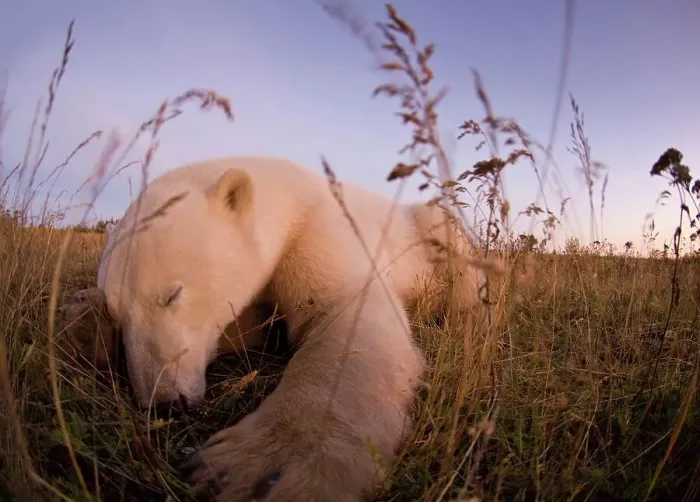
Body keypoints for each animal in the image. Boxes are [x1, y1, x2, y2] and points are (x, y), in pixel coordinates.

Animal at [96, 155, 486, 501]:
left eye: (171, 294)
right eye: (115, 315)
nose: (163, 402)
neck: (286, 196)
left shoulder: (317, 228)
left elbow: (346, 314)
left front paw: (260, 468)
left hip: (431, 232)